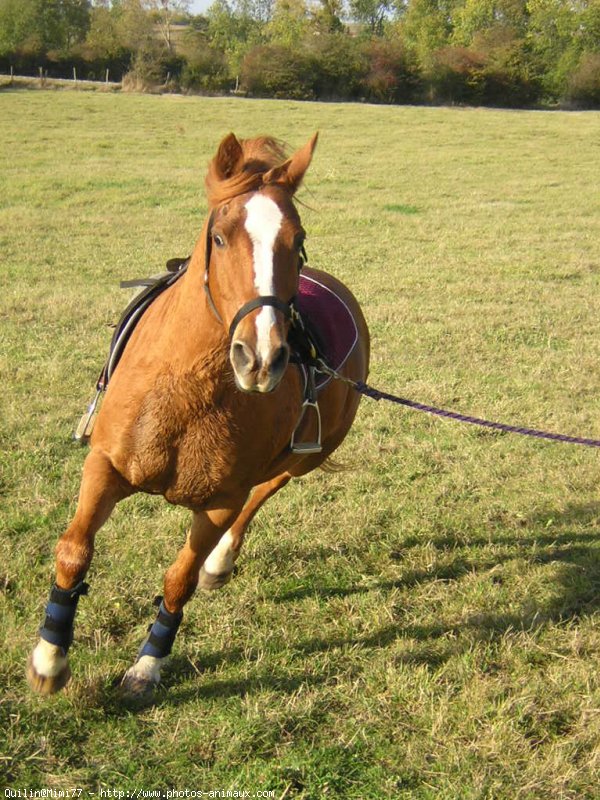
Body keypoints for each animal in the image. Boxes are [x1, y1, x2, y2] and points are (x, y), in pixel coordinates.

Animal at [28, 134, 370, 696]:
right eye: (220, 238)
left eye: (297, 242)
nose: (261, 357)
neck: (187, 391)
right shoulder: (105, 466)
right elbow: (74, 550)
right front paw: (50, 658)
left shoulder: (220, 502)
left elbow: (180, 579)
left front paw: (148, 665)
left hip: (306, 458)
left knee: (267, 489)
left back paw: (221, 561)